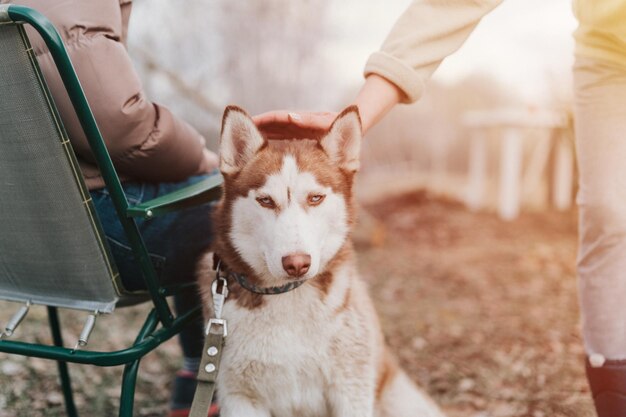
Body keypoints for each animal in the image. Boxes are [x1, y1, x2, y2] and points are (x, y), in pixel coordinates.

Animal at [197, 105, 442, 416]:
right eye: (265, 201)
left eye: (315, 198)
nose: (297, 263)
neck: (287, 295)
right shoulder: (239, 397)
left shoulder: (352, 387)